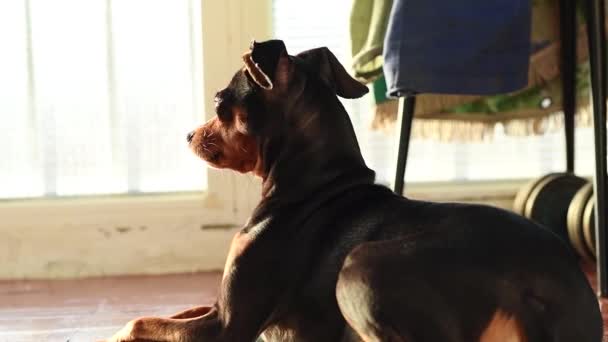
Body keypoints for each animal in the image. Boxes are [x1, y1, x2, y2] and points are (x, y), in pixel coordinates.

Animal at [104, 40, 604, 342]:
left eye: (220, 102)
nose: (188, 135)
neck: (311, 187)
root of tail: (547, 286)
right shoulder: (218, 307)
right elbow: (170, 312)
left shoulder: (230, 324)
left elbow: (138, 321)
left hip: (359, 264)